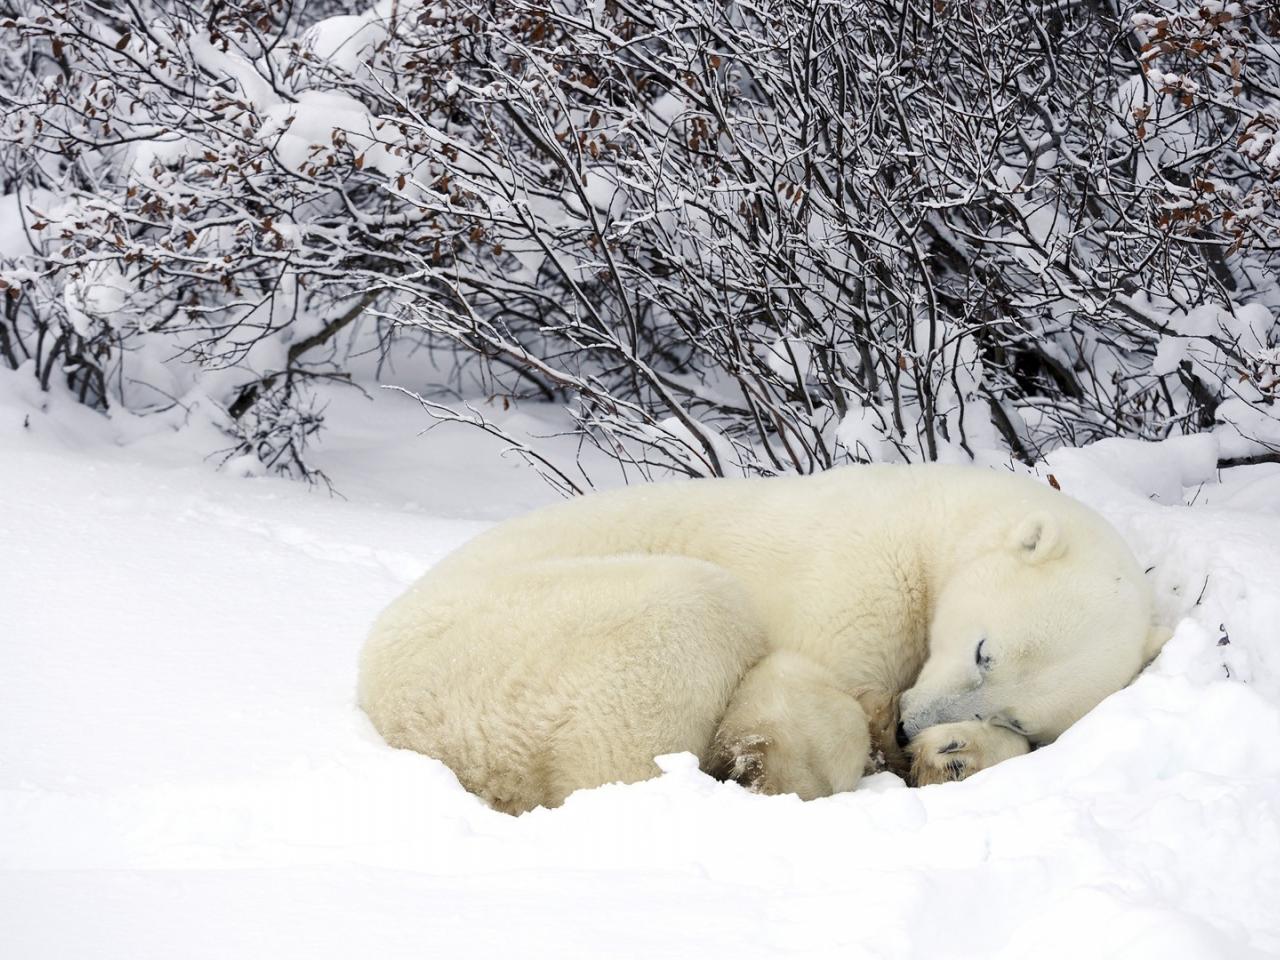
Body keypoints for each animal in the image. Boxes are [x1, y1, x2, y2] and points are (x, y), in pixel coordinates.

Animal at [355, 465, 1167, 814]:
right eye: (982, 650)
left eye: (1016, 714)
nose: (912, 726)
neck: (932, 521)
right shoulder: (858, 573)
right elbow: (798, 682)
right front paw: (788, 764)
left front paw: (954, 755)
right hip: (504, 646)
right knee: (687, 616)